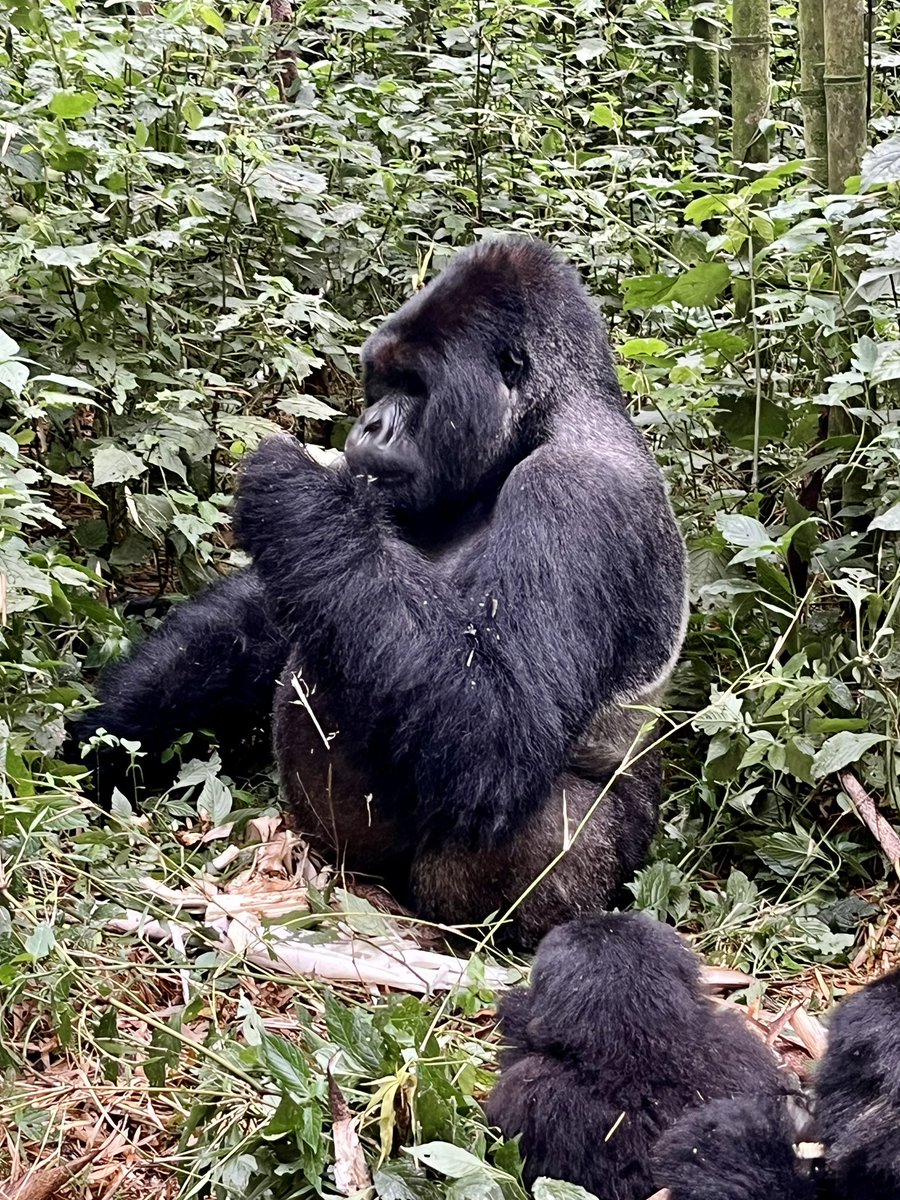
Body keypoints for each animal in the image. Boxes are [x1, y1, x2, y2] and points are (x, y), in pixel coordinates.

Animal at [77, 236, 686, 945]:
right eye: (382, 383)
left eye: (414, 386)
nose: (369, 425)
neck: (541, 423)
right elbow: (273, 614)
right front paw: (108, 736)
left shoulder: (578, 491)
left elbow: (499, 727)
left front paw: (292, 487)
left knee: (553, 824)